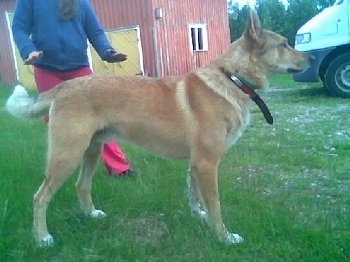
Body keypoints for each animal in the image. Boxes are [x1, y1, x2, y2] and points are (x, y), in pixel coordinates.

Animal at [6, 10, 312, 248]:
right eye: (284, 44)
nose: (310, 59)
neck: (232, 78)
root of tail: (65, 86)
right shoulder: (207, 163)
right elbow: (215, 205)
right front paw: (224, 237)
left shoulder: (196, 163)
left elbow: (194, 195)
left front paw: (198, 217)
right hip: (67, 155)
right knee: (40, 197)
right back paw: (42, 238)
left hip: (91, 150)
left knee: (82, 186)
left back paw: (91, 215)